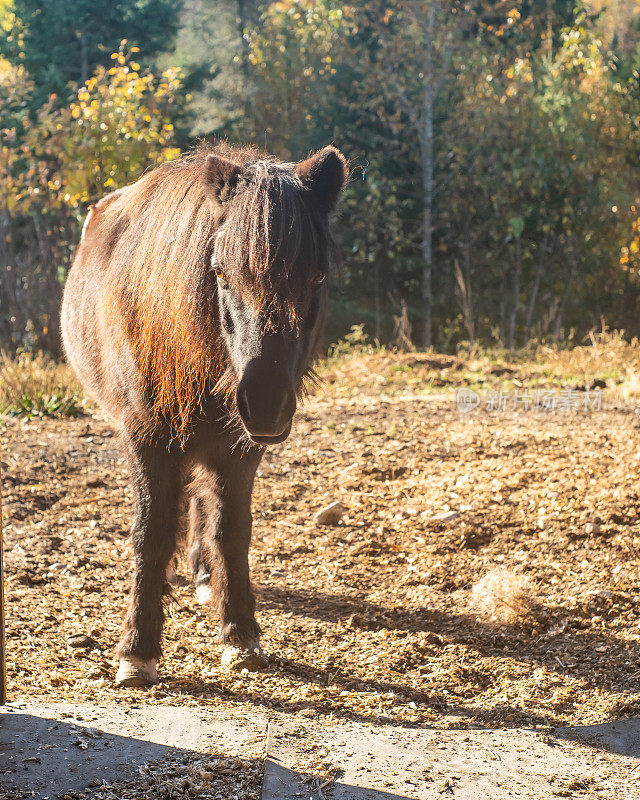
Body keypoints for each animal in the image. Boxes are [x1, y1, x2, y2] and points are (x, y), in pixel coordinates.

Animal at [61, 144, 344, 688]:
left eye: (318, 276)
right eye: (219, 272)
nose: (265, 403)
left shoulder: (238, 448)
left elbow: (231, 530)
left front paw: (240, 633)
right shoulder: (146, 438)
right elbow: (150, 532)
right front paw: (138, 650)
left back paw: (205, 575)